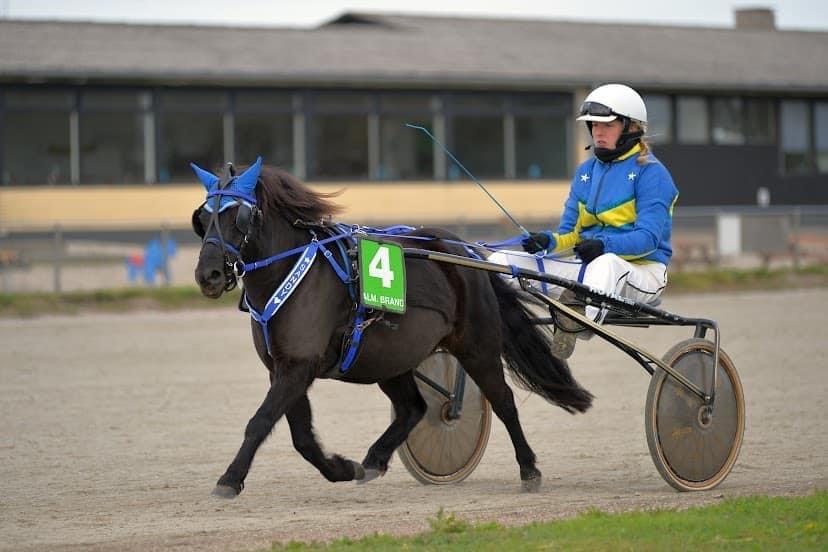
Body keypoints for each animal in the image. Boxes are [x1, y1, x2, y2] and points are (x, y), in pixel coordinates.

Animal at [191, 157, 592, 498]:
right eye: (203, 217)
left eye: (238, 216)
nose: (208, 275)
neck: (290, 274)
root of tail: (462, 249)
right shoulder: (284, 367)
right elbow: (301, 436)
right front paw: (343, 468)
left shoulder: (298, 366)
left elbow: (260, 421)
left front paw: (229, 479)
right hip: (390, 356)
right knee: (413, 407)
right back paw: (374, 459)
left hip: (476, 346)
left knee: (502, 400)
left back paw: (529, 469)